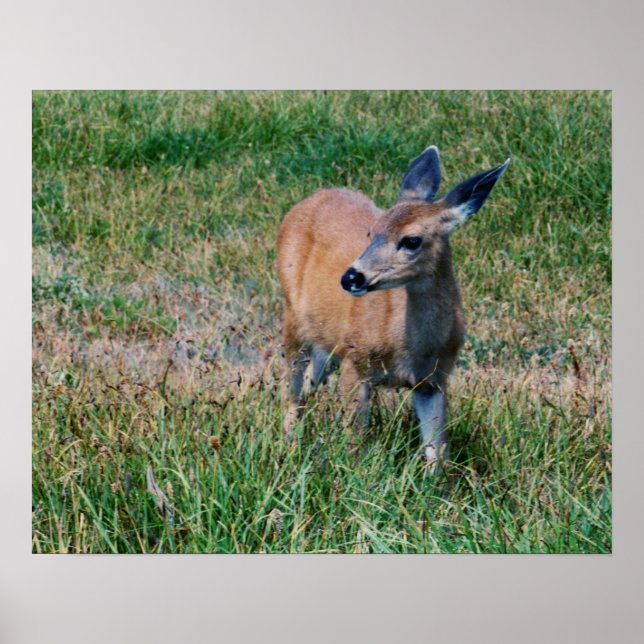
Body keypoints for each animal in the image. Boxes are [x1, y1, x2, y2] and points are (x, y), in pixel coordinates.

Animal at [276, 146, 509, 466]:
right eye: (371, 232)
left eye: (412, 240)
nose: (351, 277)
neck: (409, 347)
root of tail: (313, 197)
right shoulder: (356, 360)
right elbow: (355, 443)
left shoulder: (434, 380)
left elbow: (438, 452)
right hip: (293, 317)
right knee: (292, 389)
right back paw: (288, 447)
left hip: (327, 342)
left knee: (310, 382)